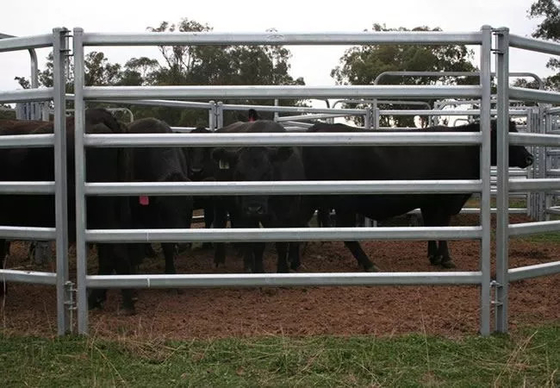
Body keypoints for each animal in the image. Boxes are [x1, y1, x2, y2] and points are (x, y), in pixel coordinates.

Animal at [211, 119, 306, 272]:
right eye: (239, 174)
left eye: (267, 173)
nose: (254, 208)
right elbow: (257, 244)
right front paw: (258, 270)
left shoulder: (289, 212)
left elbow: (283, 243)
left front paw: (283, 269)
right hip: (222, 200)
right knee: (220, 222)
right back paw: (223, 260)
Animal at [302, 120, 532, 270]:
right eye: (506, 136)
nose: (529, 158)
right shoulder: (446, 201)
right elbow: (442, 227)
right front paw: (445, 259)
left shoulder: (429, 201)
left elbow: (431, 226)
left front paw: (433, 256)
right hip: (343, 202)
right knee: (347, 234)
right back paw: (368, 264)